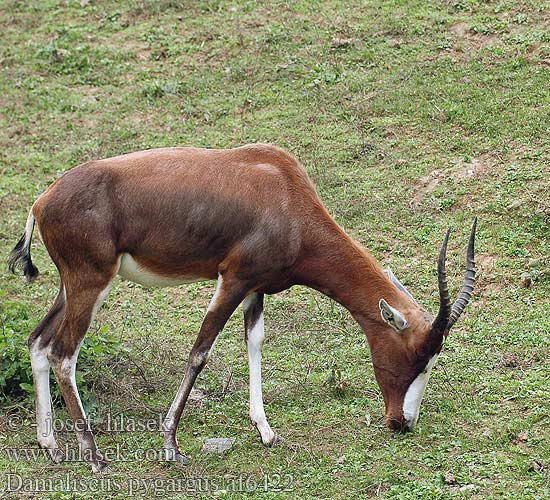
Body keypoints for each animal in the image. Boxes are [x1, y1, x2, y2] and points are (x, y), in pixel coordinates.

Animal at [8, 145, 476, 472]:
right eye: (419, 357)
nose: (403, 422)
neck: (282, 189)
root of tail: (42, 200)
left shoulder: (255, 289)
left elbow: (255, 344)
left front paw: (266, 431)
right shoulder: (232, 280)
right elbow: (201, 351)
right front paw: (171, 446)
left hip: (72, 287)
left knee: (37, 342)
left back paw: (50, 446)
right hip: (90, 284)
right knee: (63, 354)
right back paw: (94, 457)